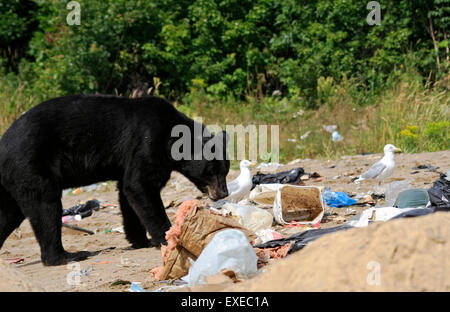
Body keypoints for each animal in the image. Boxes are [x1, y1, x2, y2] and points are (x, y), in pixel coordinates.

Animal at [0, 94, 229, 264]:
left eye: (225, 170)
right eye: (213, 171)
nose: (224, 193)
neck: (171, 136)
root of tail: (4, 144)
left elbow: (128, 194)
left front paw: (140, 240)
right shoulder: (147, 142)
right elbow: (141, 185)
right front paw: (167, 236)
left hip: (15, 179)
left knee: (10, 213)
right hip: (31, 164)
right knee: (45, 206)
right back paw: (68, 255)